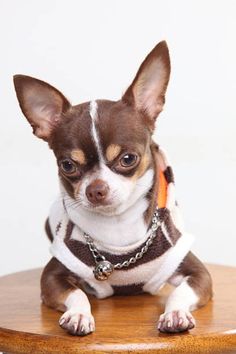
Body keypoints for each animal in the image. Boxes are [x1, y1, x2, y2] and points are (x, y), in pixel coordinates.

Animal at [13, 40, 212, 336]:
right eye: (67, 165)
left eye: (128, 159)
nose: (96, 189)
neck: (118, 226)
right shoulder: (52, 276)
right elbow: (77, 293)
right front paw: (79, 314)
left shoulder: (196, 272)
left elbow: (180, 292)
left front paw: (175, 313)